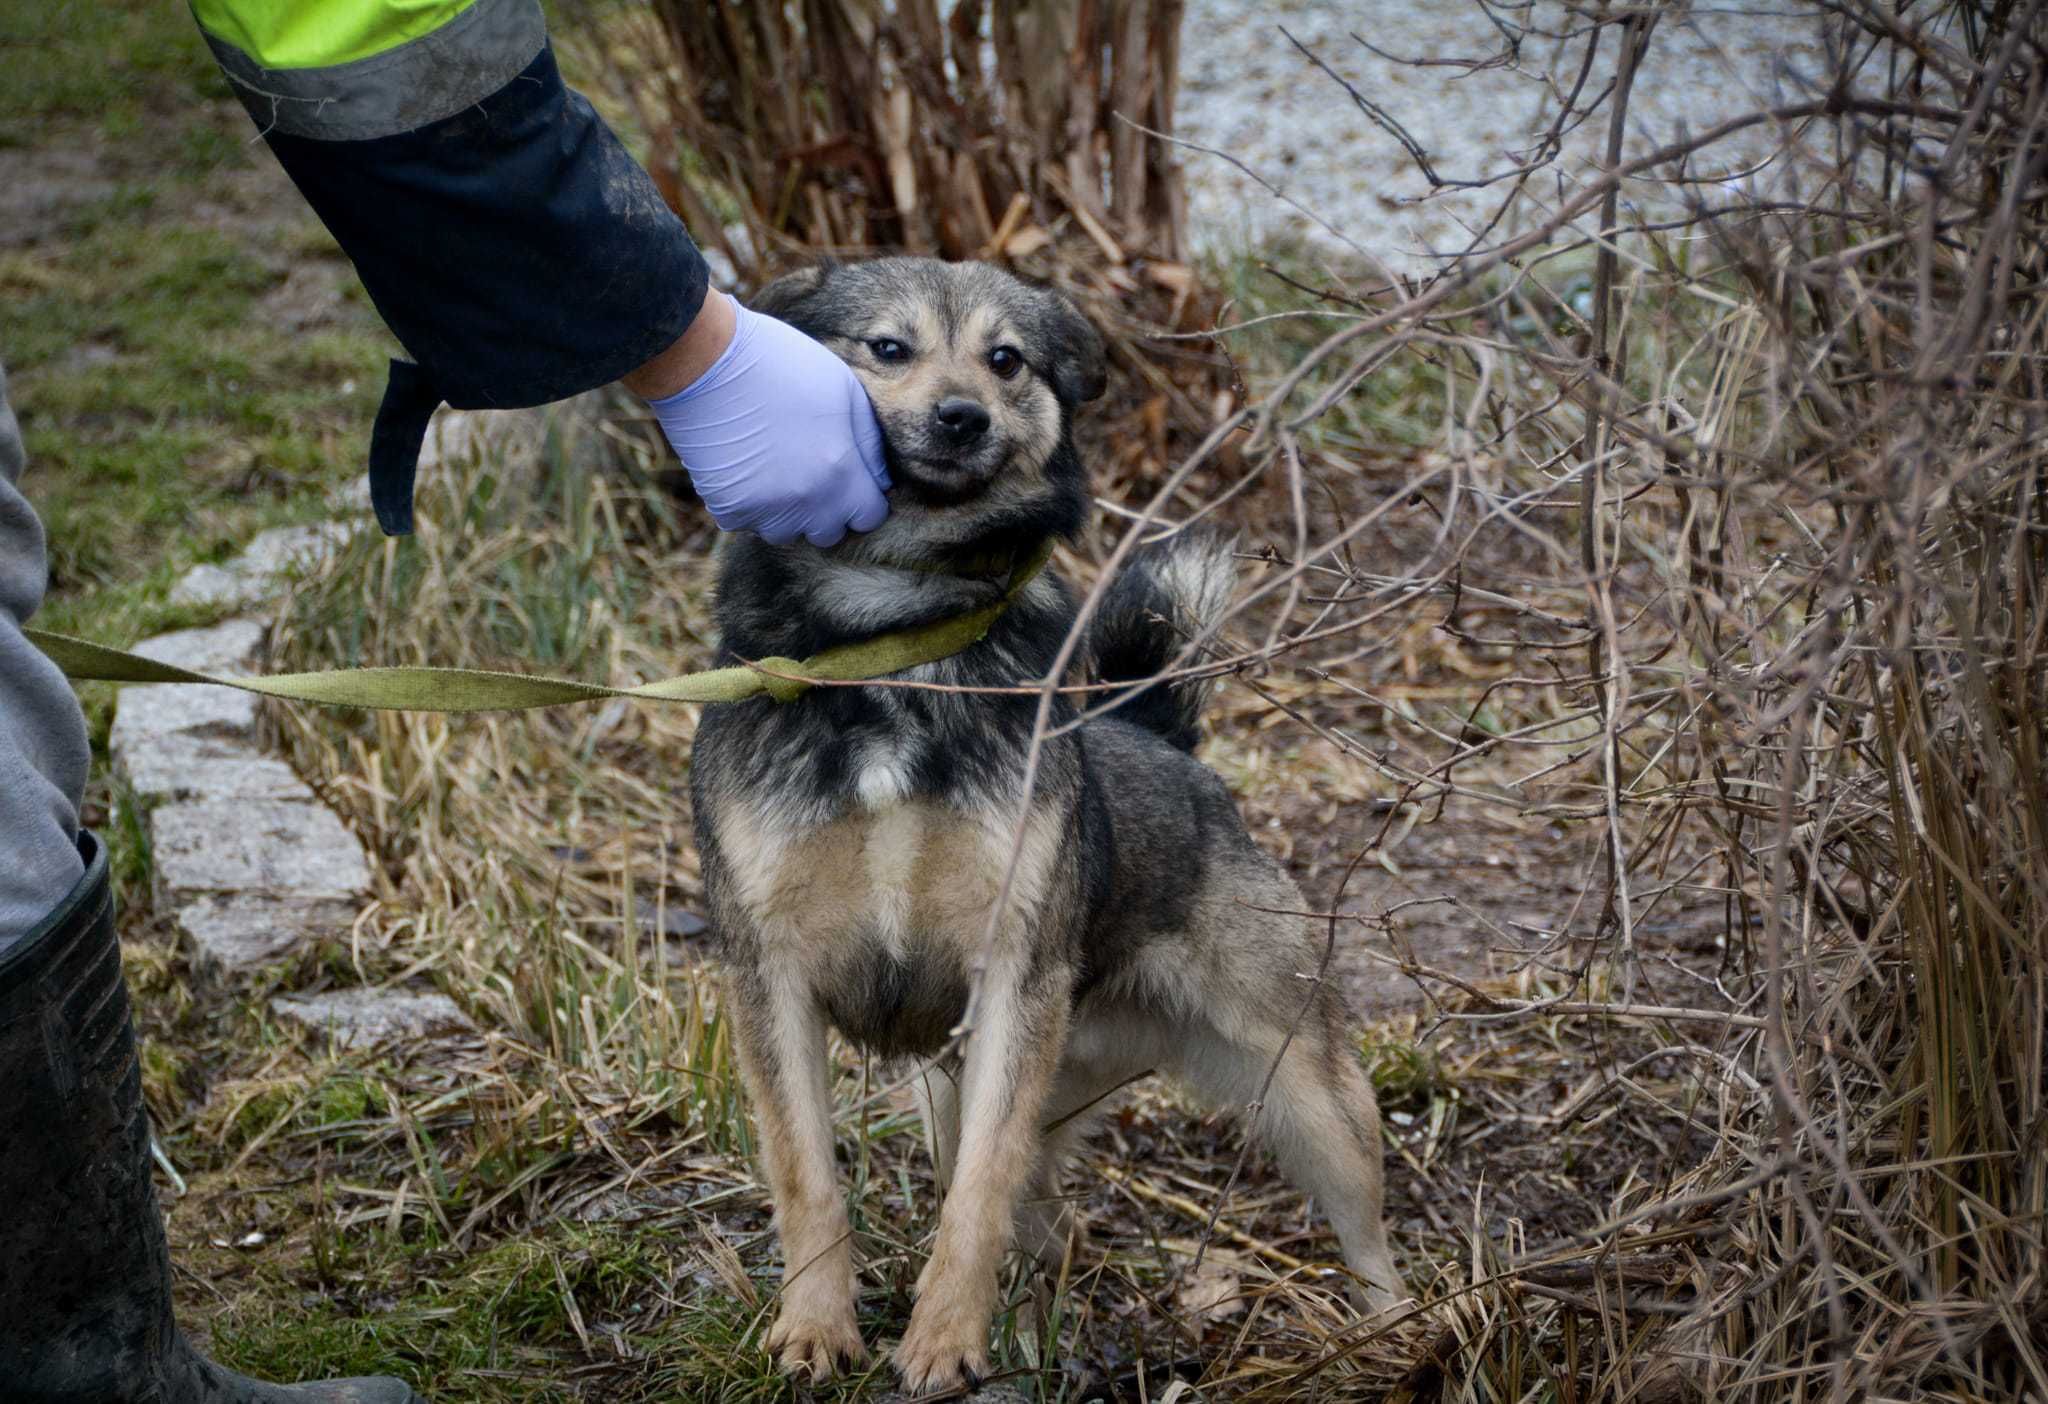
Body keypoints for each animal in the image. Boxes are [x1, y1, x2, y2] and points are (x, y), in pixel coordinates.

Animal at [692, 258, 1409, 1391]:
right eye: (886, 348)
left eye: (1005, 360)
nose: (961, 418)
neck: (899, 636)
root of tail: (1160, 739)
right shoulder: (771, 977)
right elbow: (808, 1176)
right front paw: (814, 1328)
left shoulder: (1012, 981)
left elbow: (974, 1199)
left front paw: (942, 1340)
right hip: (981, 1085)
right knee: (1049, 1224)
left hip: (1307, 1093)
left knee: (1367, 1239)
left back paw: (1406, 1335)